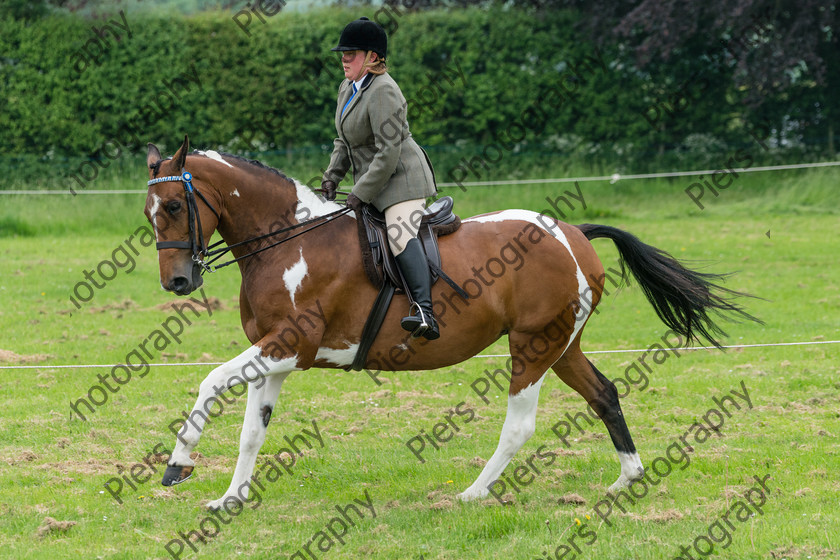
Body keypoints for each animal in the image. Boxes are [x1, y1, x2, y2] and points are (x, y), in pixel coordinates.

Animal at [143, 137, 756, 512]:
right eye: (149, 213)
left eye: (173, 206)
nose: (177, 283)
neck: (287, 241)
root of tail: (572, 232)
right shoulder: (276, 356)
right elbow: (252, 430)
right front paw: (230, 499)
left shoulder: (290, 345)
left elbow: (209, 381)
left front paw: (178, 465)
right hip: (563, 345)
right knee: (603, 393)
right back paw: (628, 477)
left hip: (533, 345)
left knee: (520, 425)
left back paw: (472, 493)